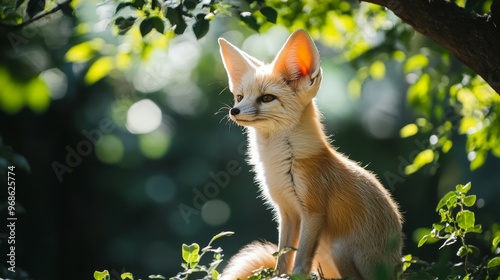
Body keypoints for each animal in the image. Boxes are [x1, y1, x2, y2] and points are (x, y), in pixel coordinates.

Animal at [218, 29, 402, 278]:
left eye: (266, 98)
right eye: (240, 97)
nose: (234, 111)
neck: (280, 162)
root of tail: (399, 265)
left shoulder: (313, 211)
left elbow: (301, 260)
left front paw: (294, 276)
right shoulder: (286, 211)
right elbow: (283, 257)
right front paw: (278, 276)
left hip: (339, 250)